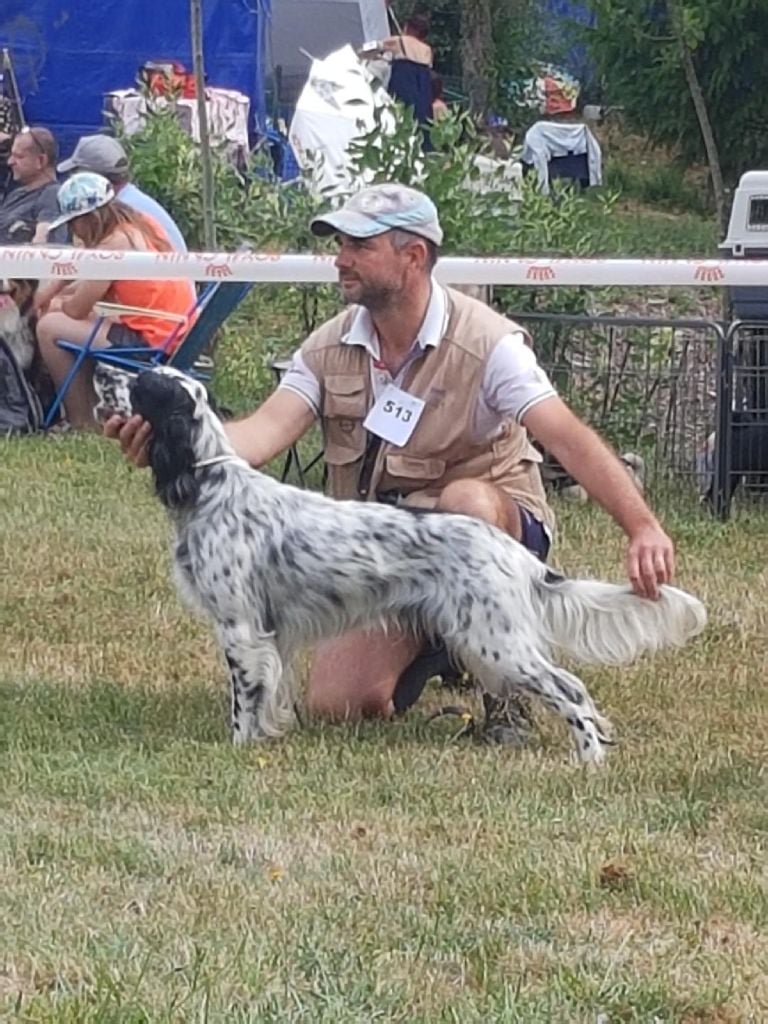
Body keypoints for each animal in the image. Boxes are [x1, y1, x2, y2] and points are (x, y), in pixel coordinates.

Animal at [123, 366, 708, 761]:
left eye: (144, 384)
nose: (111, 372)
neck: (210, 485)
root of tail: (512, 553)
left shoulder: (240, 628)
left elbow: (244, 702)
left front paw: (241, 748)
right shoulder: (268, 636)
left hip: (496, 639)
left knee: (568, 687)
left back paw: (590, 758)